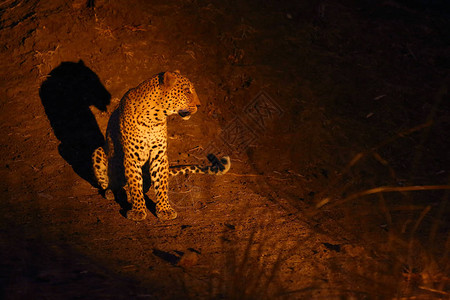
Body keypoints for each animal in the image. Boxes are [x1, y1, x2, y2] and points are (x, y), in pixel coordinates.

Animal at [92, 70, 230, 220]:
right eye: (187, 91)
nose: (199, 105)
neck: (153, 118)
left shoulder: (159, 154)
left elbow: (161, 184)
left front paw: (164, 209)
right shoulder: (132, 156)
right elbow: (135, 184)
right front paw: (138, 211)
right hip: (98, 151)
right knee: (109, 182)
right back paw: (112, 191)